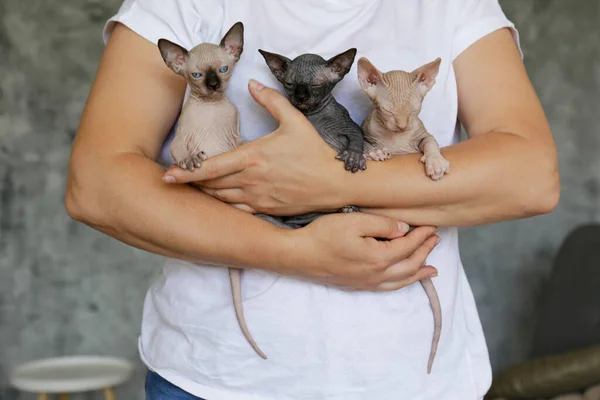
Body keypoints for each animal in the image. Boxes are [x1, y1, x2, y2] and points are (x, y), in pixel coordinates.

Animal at [159, 21, 274, 360]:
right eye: (197, 75)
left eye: (223, 70)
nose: (213, 85)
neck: (210, 109)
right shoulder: (178, 141)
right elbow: (180, 153)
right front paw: (190, 161)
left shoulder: (235, 140)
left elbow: (239, 146)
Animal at [356, 57, 450, 376]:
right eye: (386, 111)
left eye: (415, 109)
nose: (401, 125)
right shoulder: (364, 130)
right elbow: (365, 144)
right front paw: (375, 152)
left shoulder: (423, 132)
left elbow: (430, 142)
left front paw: (435, 162)